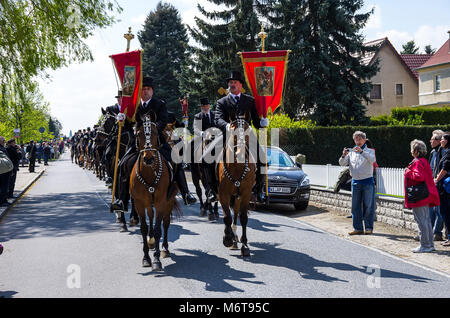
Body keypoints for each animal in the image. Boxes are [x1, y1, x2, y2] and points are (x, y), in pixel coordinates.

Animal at [129, 115, 182, 270]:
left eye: (155, 134)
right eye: (138, 134)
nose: (148, 158)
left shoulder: (161, 202)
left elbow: (159, 229)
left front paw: (157, 259)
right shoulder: (139, 203)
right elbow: (143, 228)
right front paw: (146, 258)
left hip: (168, 202)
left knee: (166, 223)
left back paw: (164, 249)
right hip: (148, 203)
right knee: (151, 217)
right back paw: (152, 242)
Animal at [216, 118, 255, 258]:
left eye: (248, 131)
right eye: (233, 131)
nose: (240, 153)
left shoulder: (246, 194)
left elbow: (243, 218)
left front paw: (245, 246)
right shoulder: (223, 193)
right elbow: (226, 216)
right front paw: (227, 238)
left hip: (238, 197)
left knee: (237, 213)